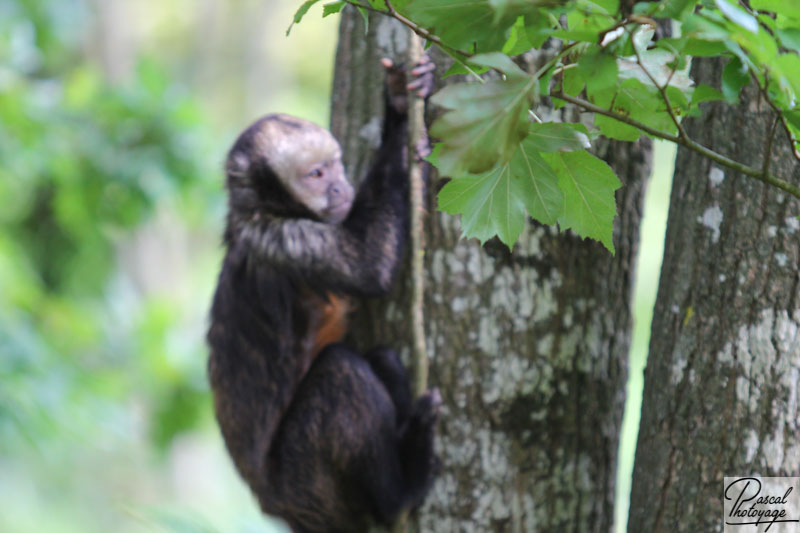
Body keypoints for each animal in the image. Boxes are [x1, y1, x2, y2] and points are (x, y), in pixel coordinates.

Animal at [205, 58, 438, 532]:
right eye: (316, 175)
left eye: (335, 166)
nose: (339, 189)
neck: (262, 212)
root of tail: (273, 507)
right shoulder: (287, 242)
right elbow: (370, 266)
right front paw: (403, 130)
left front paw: (400, 100)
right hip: (304, 486)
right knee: (339, 374)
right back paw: (401, 491)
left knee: (379, 359)